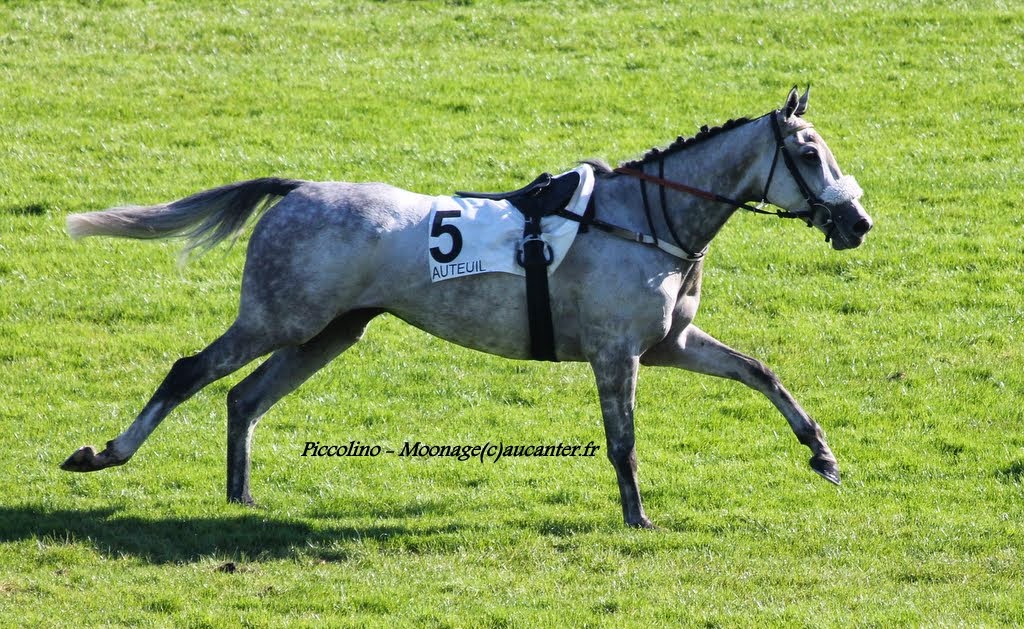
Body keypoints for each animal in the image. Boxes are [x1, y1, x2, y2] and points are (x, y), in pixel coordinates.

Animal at [61, 88, 872, 528]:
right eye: (808, 153)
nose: (858, 222)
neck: (645, 219)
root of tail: (297, 190)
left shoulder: (669, 343)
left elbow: (762, 373)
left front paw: (823, 454)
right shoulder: (617, 354)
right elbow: (624, 442)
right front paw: (637, 515)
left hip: (328, 331)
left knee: (244, 396)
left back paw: (241, 497)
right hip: (279, 318)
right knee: (190, 370)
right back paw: (103, 452)